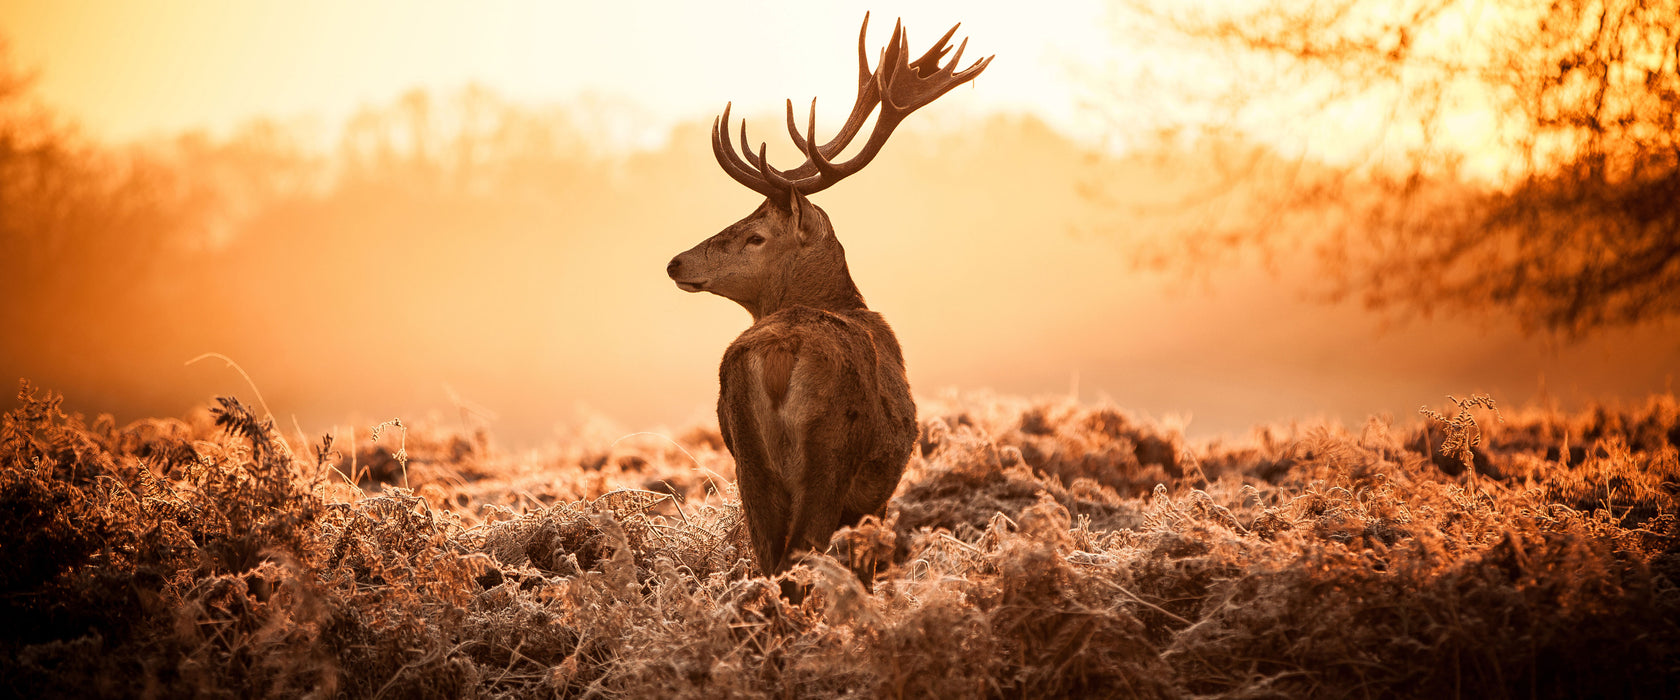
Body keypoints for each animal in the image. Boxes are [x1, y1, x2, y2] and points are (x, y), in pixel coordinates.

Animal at [665, 13, 987, 587]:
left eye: (754, 235)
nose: (676, 262)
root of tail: (778, 354)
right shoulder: (875, 495)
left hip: (747, 459)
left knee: (768, 557)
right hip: (830, 452)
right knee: (801, 554)